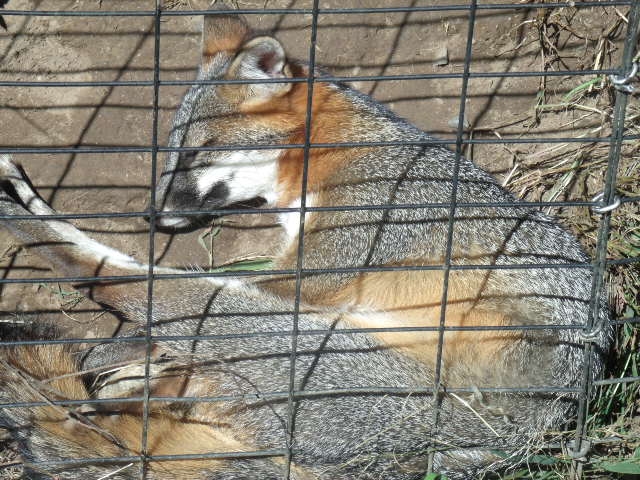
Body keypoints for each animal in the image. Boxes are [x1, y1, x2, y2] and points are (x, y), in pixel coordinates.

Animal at [0, 6, 611, 480]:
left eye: (197, 153)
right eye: (169, 153)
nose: (150, 216)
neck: (334, 155)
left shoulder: (317, 268)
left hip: (271, 328)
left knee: (112, 279)